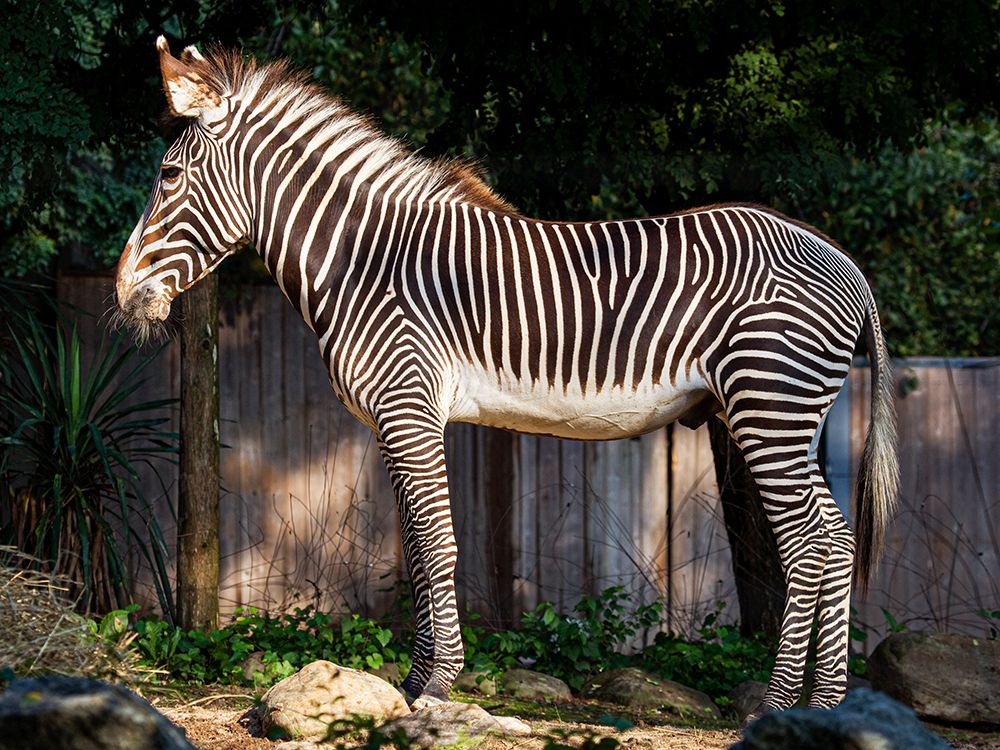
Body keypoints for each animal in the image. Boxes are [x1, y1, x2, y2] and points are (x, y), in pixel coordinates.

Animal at [114, 38, 898, 722]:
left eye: (168, 177)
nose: (123, 294)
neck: (363, 261)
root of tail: (841, 261)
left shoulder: (408, 407)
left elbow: (437, 544)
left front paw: (439, 683)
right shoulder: (398, 421)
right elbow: (416, 549)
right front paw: (413, 682)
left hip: (769, 406)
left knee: (811, 543)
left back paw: (779, 704)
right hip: (784, 415)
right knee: (833, 540)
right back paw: (824, 704)